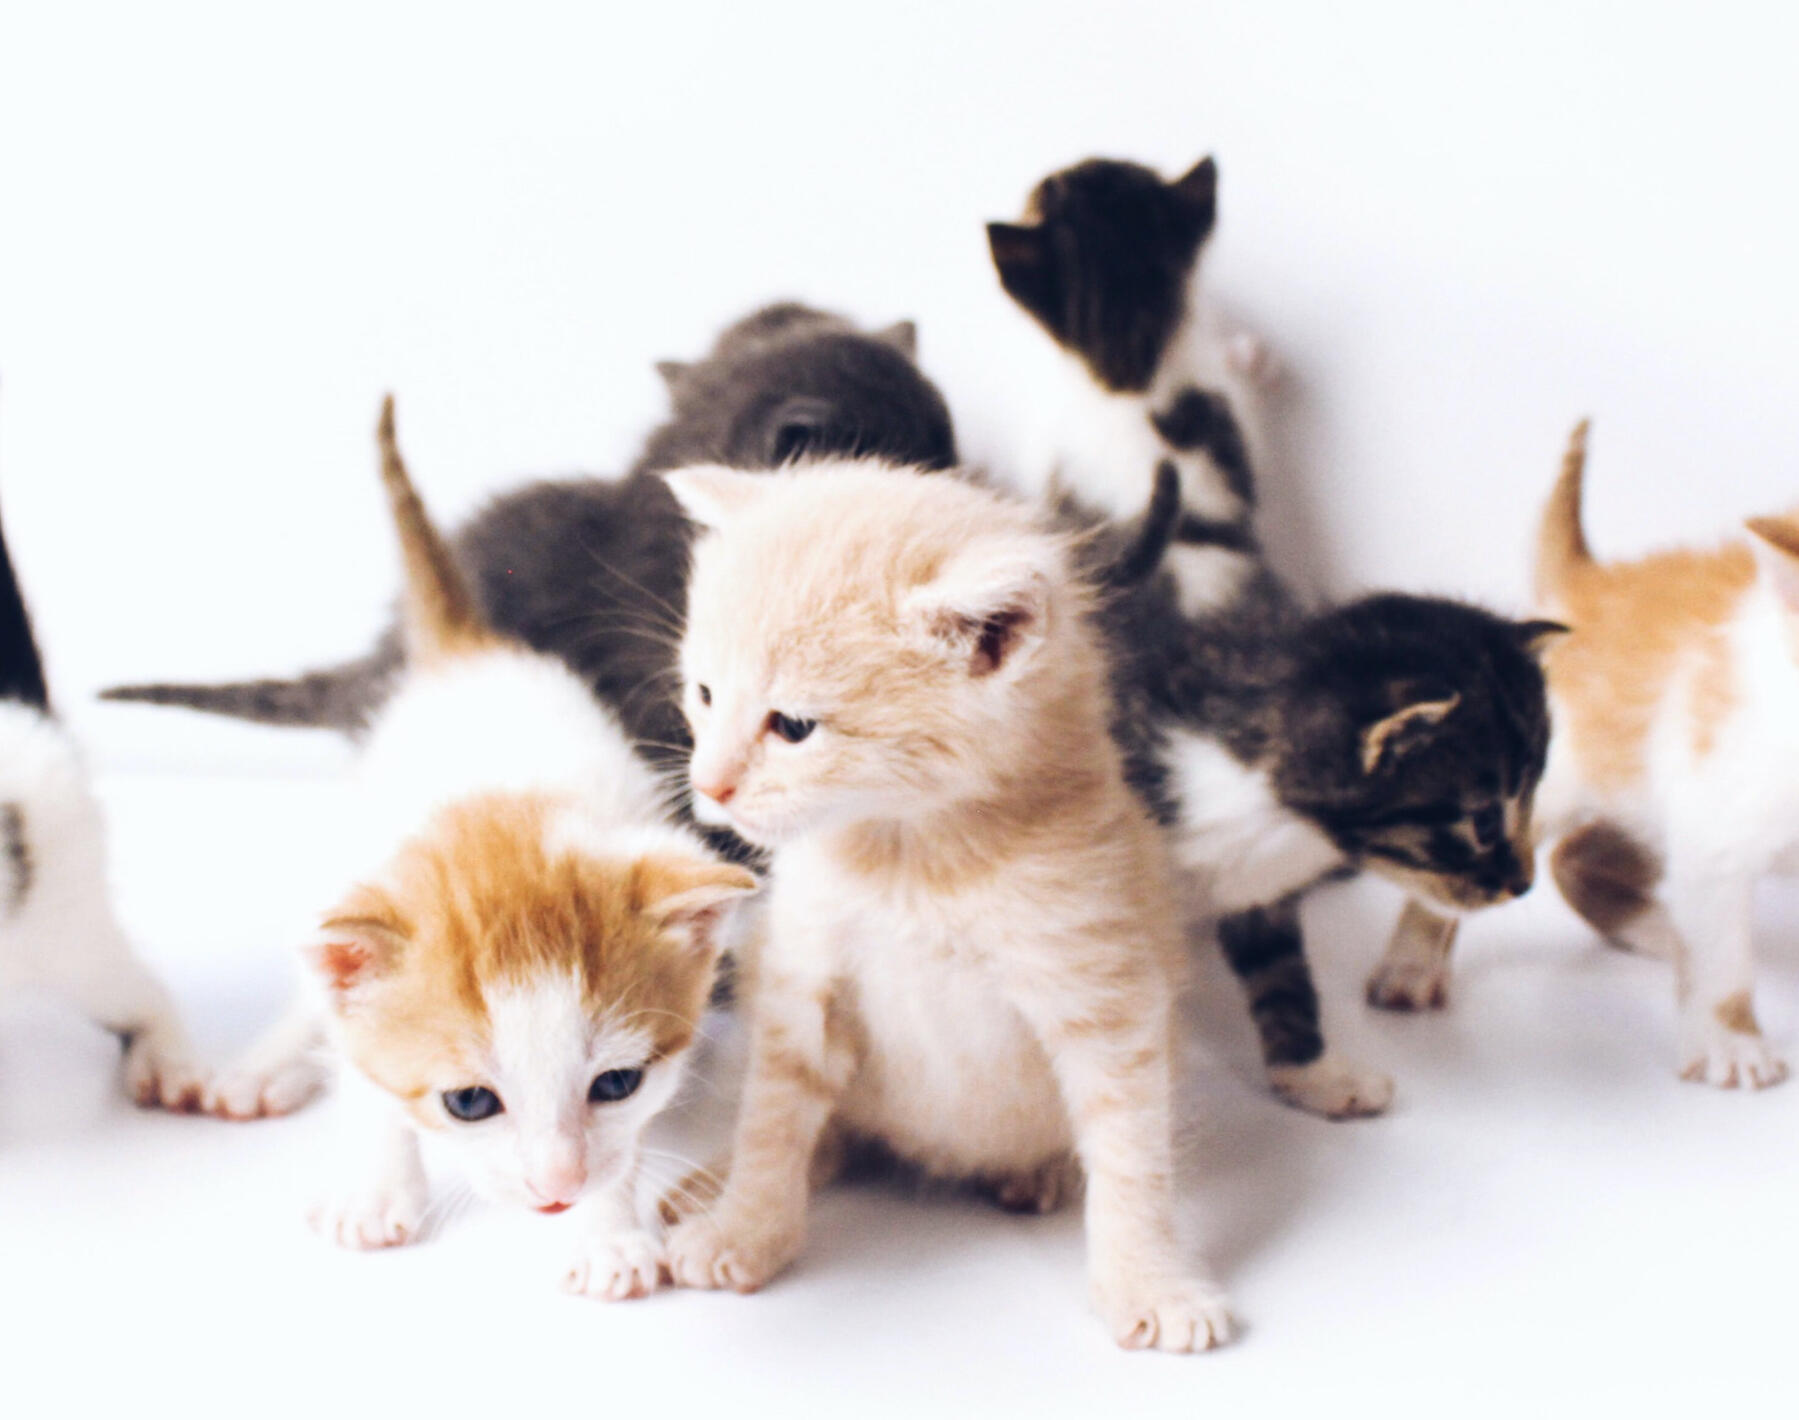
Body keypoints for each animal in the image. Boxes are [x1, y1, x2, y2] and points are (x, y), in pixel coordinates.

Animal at [296, 399, 759, 1295]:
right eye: (469, 1102)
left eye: (616, 1083)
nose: (555, 1189)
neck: (497, 817)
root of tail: (470, 651)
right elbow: (364, 1070)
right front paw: (376, 1186)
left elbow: (624, 1151)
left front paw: (607, 1233)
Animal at [1532, 421, 1799, 1087]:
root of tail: (1586, 583)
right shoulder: (1717, 817)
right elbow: (1721, 951)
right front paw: (1733, 1043)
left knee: (1575, 853)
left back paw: (1657, 931)